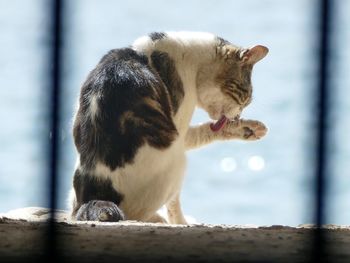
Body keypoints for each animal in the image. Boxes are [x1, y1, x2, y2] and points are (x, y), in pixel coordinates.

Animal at [70, 31, 268, 225]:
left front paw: (249, 129)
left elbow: (210, 131)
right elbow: (175, 202)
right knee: (141, 212)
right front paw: (181, 222)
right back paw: (160, 219)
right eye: (244, 98)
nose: (237, 115)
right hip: (177, 161)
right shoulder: (178, 126)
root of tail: (92, 197)